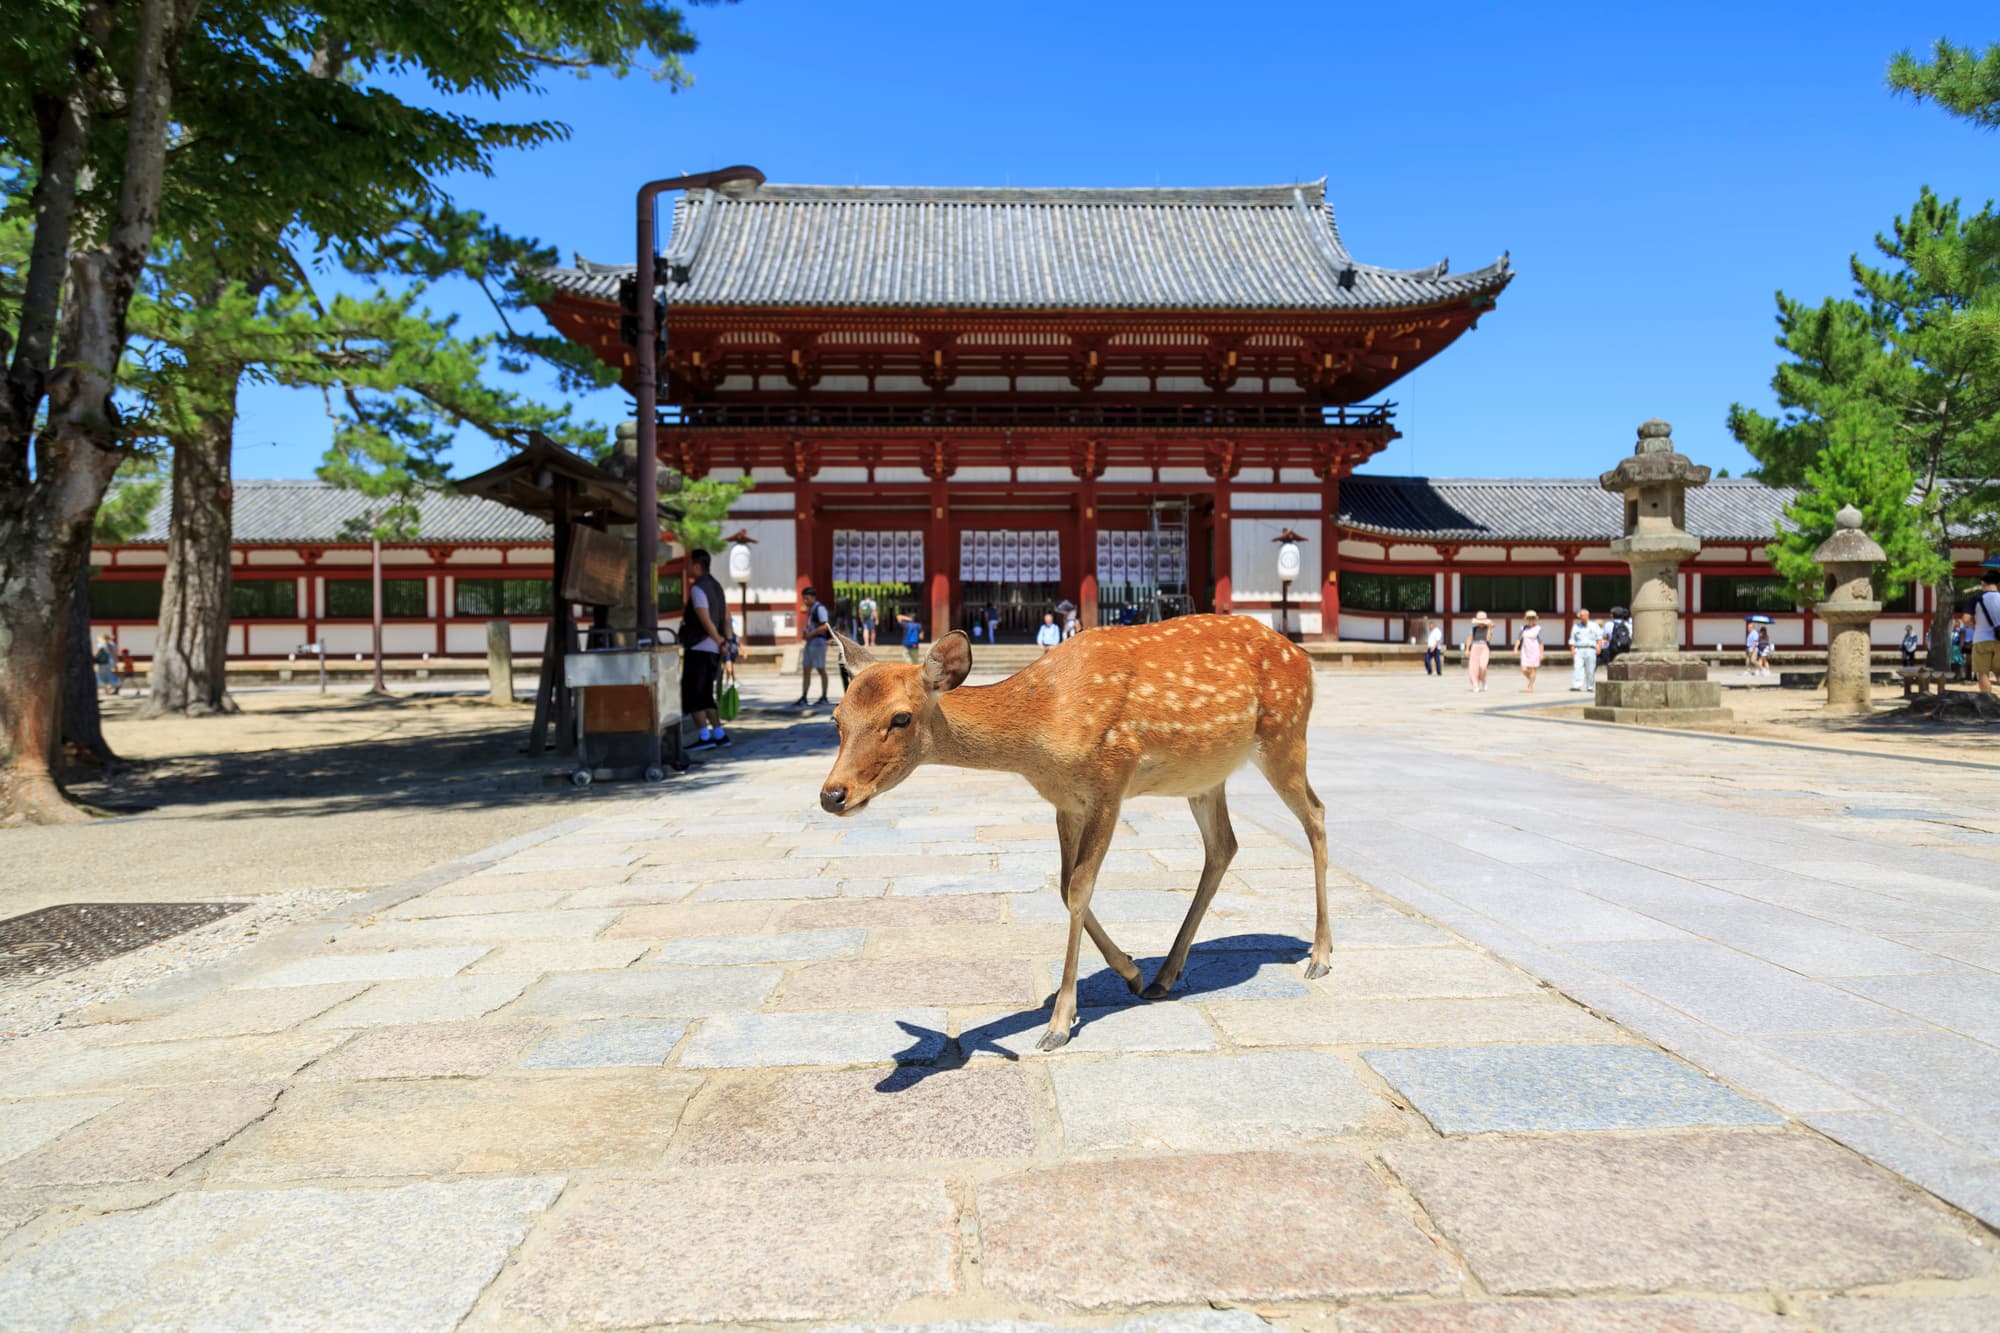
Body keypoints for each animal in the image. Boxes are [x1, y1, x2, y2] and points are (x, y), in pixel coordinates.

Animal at [818, 614, 1329, 1051]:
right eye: (836, 718)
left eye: (901, 717)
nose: (832, 795)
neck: (1042, 728)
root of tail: (1304, 658)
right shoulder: (1066, 800)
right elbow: (1065, 887)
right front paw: (1131, 973)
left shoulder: (1110, 782)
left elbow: (1081, 886)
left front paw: (1059, 1024)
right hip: (1205, 777)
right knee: (1224, 845)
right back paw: (1163, 976)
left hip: (1285, 737)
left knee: (1317, 816)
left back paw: (1319, 956)